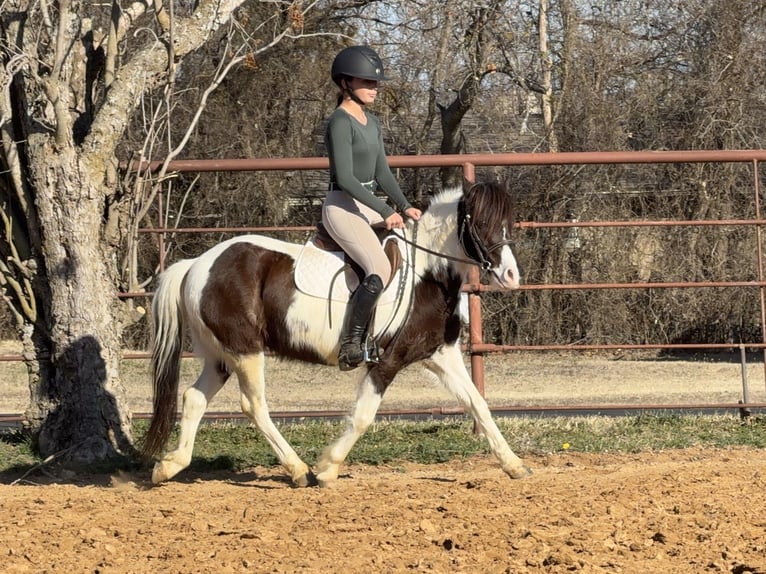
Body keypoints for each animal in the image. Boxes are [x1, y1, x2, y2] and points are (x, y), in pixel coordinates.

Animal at [141, 180, 533, 486]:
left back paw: (169, 466)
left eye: (507, 223)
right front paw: (328, 468)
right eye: (480, 223)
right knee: (253, 405)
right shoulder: (388, 361)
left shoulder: (440, 354)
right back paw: (298, 470)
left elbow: (478, 404)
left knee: (194, 398)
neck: (426, 274)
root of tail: (196, 264)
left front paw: (514, 466)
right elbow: (362, 416)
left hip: (220, 356)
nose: (511, 276)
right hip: (245, 350)